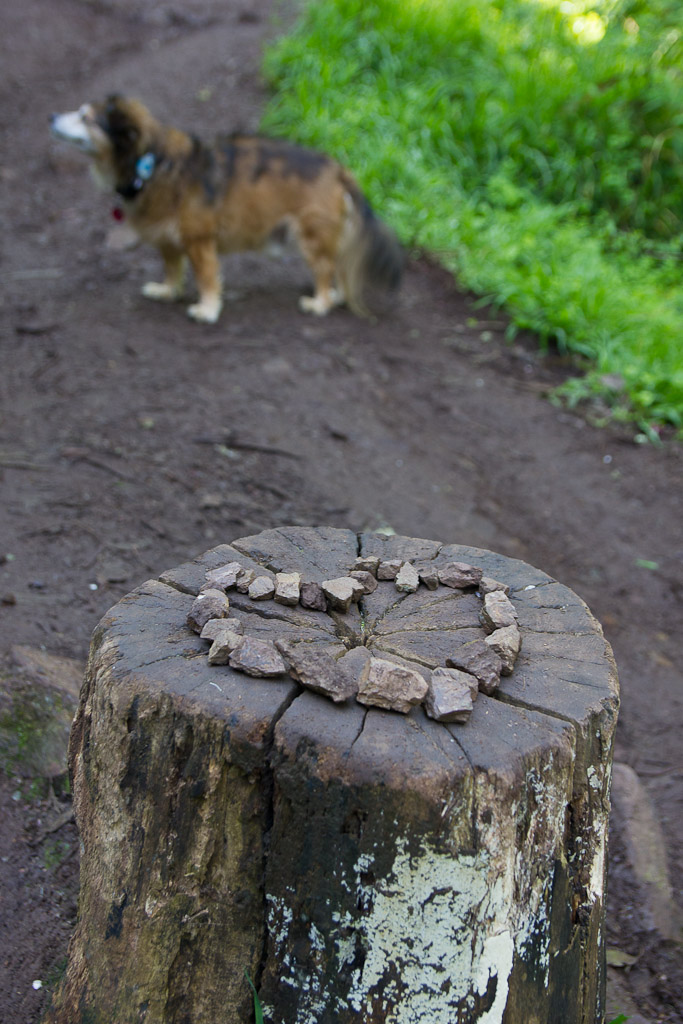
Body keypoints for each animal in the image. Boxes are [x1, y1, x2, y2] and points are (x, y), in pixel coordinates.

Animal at [50, 95, 403, 321]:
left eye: (85, 117)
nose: (51, 117)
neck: (151, 163)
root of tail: (338, 169)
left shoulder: (199, 242)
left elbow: (207, 279)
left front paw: (207, 310)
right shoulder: (168, 242)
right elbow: (172, 271)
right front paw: (167, 291)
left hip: (310, 238)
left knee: (325, 269)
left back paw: (320, 303)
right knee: (339, 269)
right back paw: (337, 295)